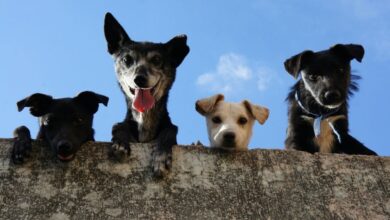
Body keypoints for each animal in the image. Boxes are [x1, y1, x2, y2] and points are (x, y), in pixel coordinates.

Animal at [103, 12, 190, 177]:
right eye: (127, 59)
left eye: (156, 59)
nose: (139, 79)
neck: (144, 119)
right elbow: (119, 126)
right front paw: (120, 142)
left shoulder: (169, 129)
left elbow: (170, 130)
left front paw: (161, 157)